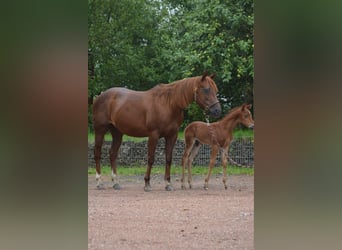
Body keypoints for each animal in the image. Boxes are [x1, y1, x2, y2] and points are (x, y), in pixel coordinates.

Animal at [93, 72, 222, 191]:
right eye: (206, 89)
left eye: (216, 90)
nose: (217, 111)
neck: (169, 104)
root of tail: (99, 96)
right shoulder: (153, 135)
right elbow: (151, 159)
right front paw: (147, 184)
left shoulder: (172, 136)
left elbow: (168, 159)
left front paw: (168, 184)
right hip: (100, 130)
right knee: (97, 153)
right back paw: (99, 182)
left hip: (117, 133)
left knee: (112, 154)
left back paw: (116, 182)